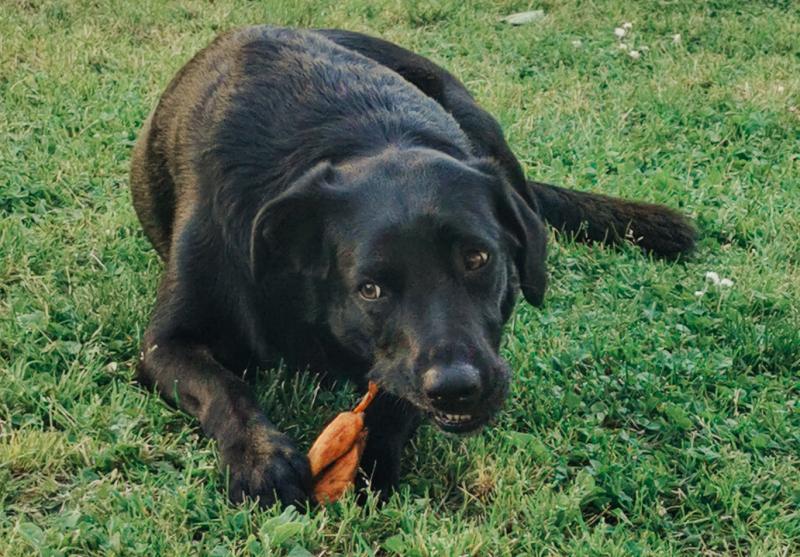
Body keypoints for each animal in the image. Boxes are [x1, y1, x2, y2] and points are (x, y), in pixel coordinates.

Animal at [130, 26, 695, 507]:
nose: (457, 387)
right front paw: (260, 457)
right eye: (370, 289)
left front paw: (371, 462)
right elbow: (225, 387)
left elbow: (394, 396)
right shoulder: (166, 344)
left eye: (477, 258)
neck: (361, 136)